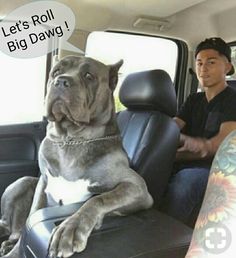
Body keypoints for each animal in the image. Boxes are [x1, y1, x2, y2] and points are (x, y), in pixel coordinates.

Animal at [0, 56, 153, 258]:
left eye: (88, 76)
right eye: (56, 72)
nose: (61, 81)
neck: (71, 139)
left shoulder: (137, 187)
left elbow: (98, 199)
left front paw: (71, 228)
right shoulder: (43, 183)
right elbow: (31, 218)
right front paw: (16, 252)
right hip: (23, 182)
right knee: (12, 228)